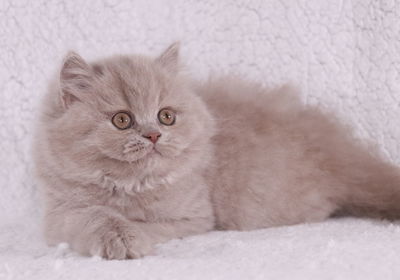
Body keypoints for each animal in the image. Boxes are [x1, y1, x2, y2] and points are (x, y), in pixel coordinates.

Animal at [32, 42, 400, 260]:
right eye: (122, 120)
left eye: (166, 116)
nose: (153, 135)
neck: (130, 186)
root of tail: (336, 148)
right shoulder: (60, 212)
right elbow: (93, 216)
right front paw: (117, 235)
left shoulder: (193, 217)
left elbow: (148, 224)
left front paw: (131, 236)